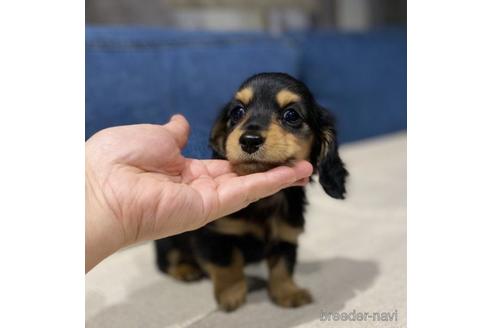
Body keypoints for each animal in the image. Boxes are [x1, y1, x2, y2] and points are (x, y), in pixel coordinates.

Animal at [156, 73, 348, 312]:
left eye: (291, 115)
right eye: (237, 112)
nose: (249, 140)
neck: (265, 200)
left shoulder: (285, 235)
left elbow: (283, 267)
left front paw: (288, 293)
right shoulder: (217, 235)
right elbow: (229, 265)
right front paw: (231, 295)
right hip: (169, 239)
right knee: (166, 261)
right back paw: (186, 269)